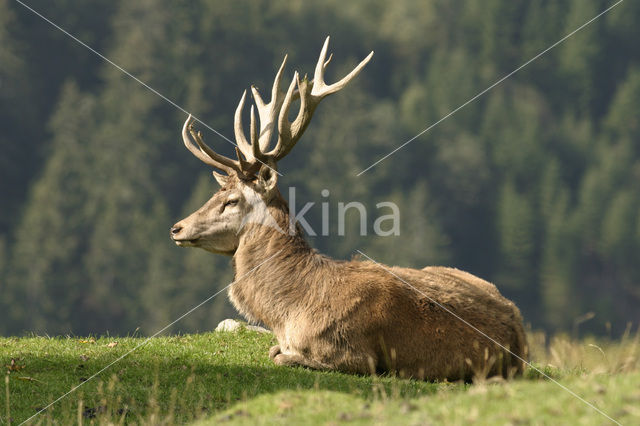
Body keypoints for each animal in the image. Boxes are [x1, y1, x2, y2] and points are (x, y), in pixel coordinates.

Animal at [172, 36, 528, 382]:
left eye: (231, 200)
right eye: (217, 192)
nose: (177, 227)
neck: (287, 312)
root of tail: (520, 337)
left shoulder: (353, 354)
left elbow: (279, 357)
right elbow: (274, 351)